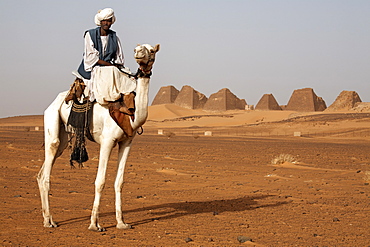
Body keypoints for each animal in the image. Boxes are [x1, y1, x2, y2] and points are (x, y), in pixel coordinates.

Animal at [36, 43, 160, 231]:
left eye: (151, 50)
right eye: (138, 48)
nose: (138, 53)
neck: (131, 114)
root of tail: (53, 103)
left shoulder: (127, 142)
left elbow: (119, 182)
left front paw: (122, 223)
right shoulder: (107, 141)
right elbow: (100, 182)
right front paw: (95, 224)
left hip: (63, 136)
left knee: (42, 171)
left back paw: (48, 218)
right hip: (52, 124)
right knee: (45, 173)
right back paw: (48, 221)